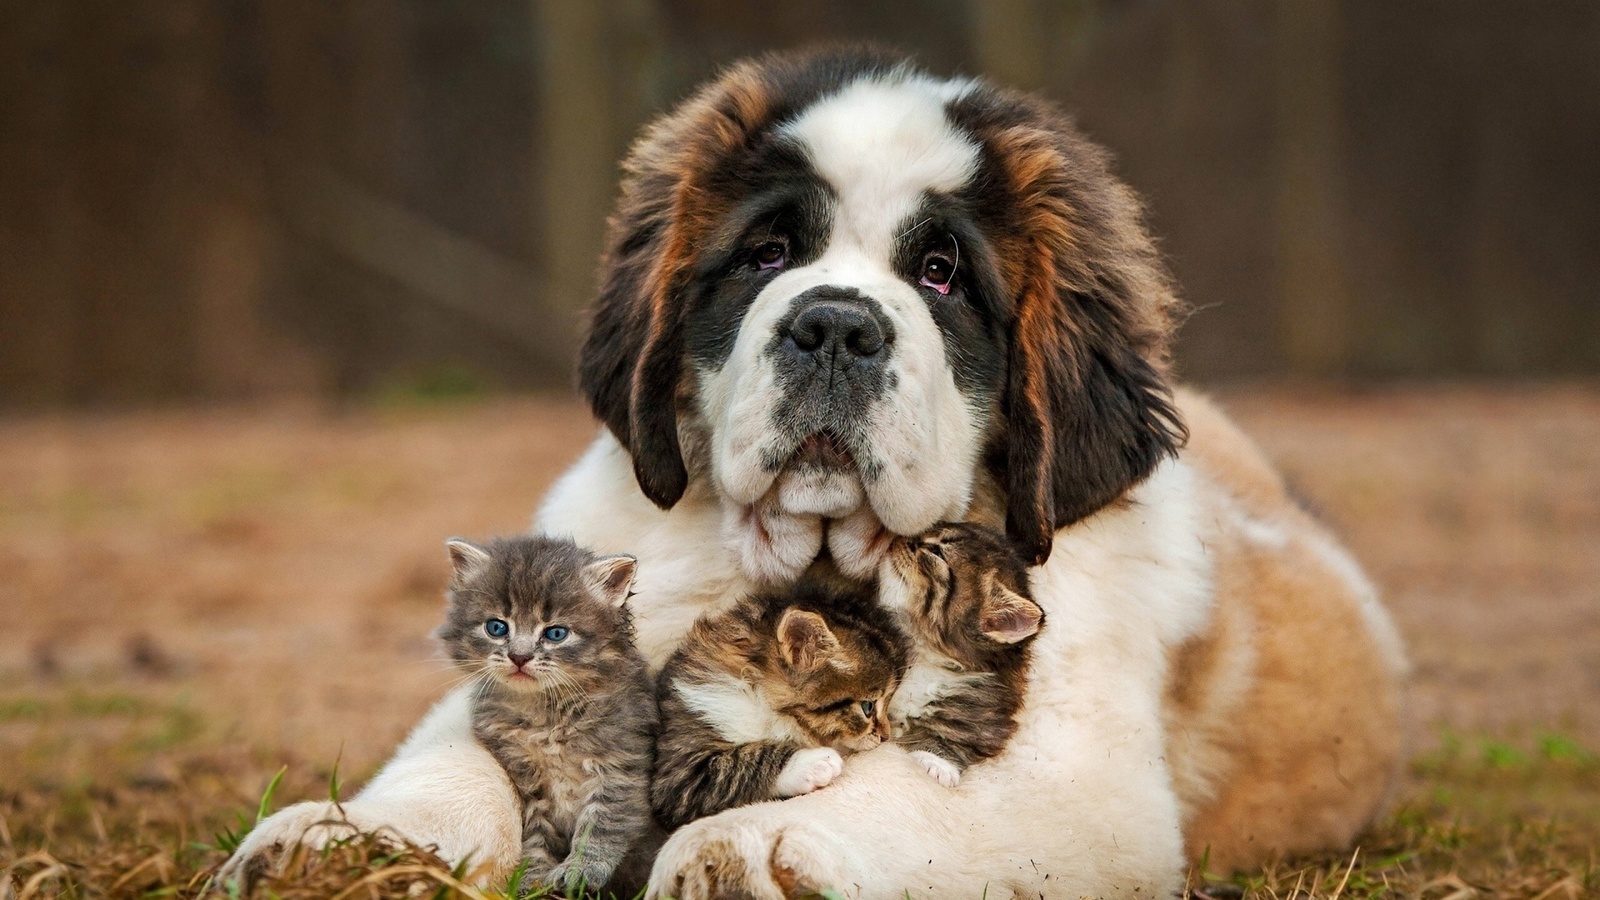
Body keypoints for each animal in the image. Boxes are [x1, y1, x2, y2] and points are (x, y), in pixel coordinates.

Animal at [432, 531, 656, 890]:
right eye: (497, 628)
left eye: (555, 633)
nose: (519, 656)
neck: (544, 715)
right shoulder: (529, 783)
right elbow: (536, 836)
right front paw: (532, 879)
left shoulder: (619, 768)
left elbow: (601, 825)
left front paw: (581, 870)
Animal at [646, 570, 902, 832]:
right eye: (868, 706)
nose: (886, 736)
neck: (762, 703)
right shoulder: (680, 775)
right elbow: (742, 761)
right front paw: (811, 762)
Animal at [876, 518, 1049, 784]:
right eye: (932, 530)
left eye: (936, 551)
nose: (900, 538)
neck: (925, 654)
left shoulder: (984, 715)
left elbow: (955, 737)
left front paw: (936, 763)